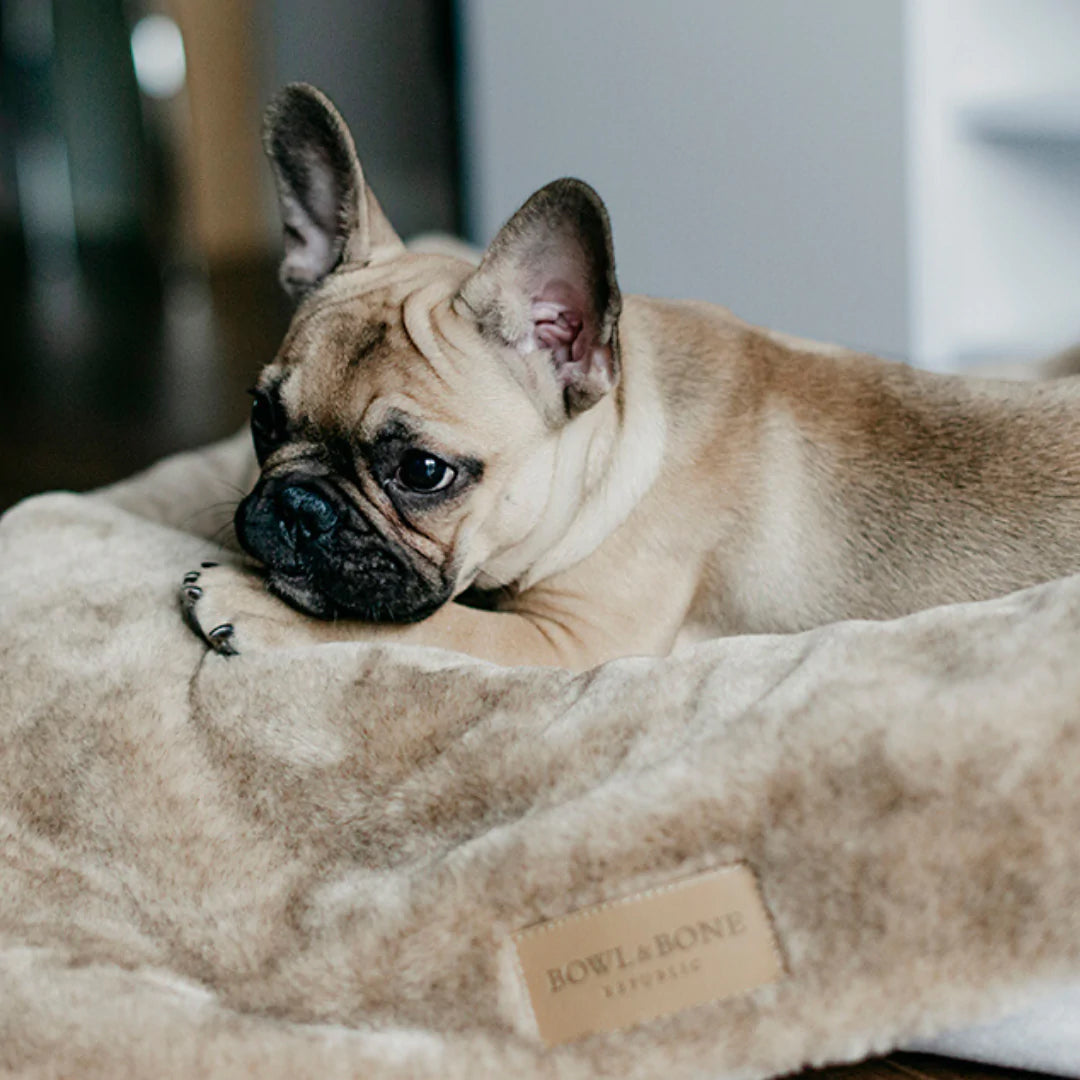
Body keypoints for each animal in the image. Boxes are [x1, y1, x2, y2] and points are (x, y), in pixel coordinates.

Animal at [177, 84, 1080, 665]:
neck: (616, 437)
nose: (298, 505)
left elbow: (416, 627)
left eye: (424, 471)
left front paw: (248, 601)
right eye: (261, 418)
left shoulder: (569, 641)